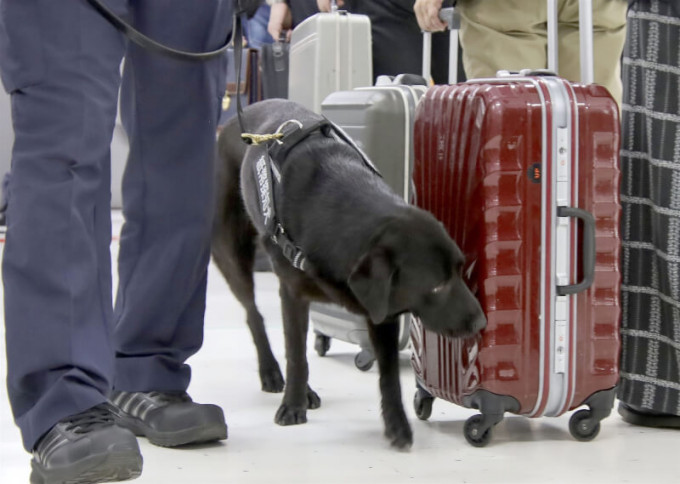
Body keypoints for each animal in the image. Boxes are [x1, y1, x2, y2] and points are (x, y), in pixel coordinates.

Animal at [211, 99, 484, 450]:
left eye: (460, 270)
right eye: (437, 287)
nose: (481, 323)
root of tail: (236, 120)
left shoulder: (383, 309)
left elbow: (389, 376)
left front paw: (397, 424)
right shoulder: (292, 293)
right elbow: (296, 355)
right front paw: (293, 405)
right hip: (231, 252)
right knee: (254, 315)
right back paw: (273, 373)